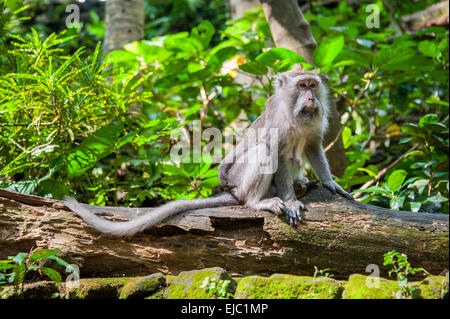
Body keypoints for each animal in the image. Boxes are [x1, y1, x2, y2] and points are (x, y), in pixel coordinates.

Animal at [64, 63, 352, 238]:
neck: (295, 113)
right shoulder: (278, 123)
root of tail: (233, 192)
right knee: (263, 152)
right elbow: (277, 154)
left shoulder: (313, 127)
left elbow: (313, 145)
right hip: (239, 180)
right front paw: (291, 201)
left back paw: (301, 182)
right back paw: (258, 201)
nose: (311, 98)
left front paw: (330, 183)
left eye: (312, 85)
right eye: (302, 86)